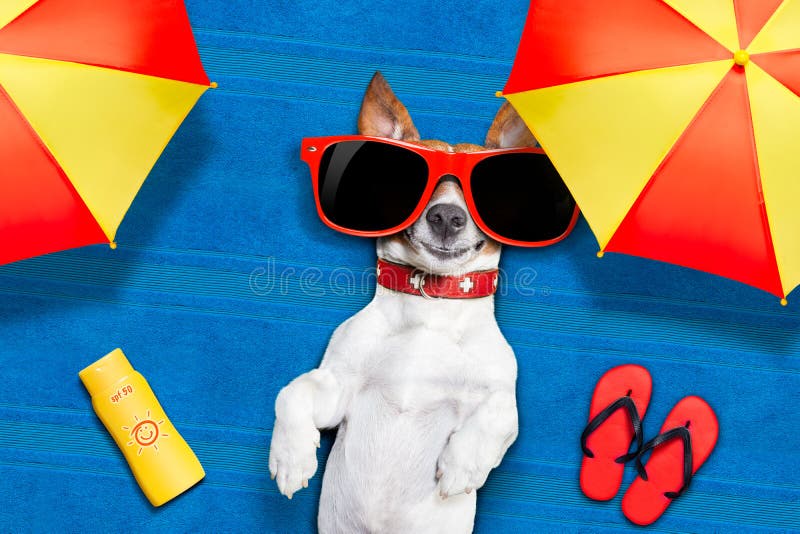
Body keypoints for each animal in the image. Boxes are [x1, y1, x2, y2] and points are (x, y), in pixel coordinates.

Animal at [268, 73, 536, 532]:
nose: (446, 216)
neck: (431, 308)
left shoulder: (501, 393)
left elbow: (503, 414)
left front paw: (462, 465)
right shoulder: (338, 389)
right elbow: (292, 392)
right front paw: (291, 458)